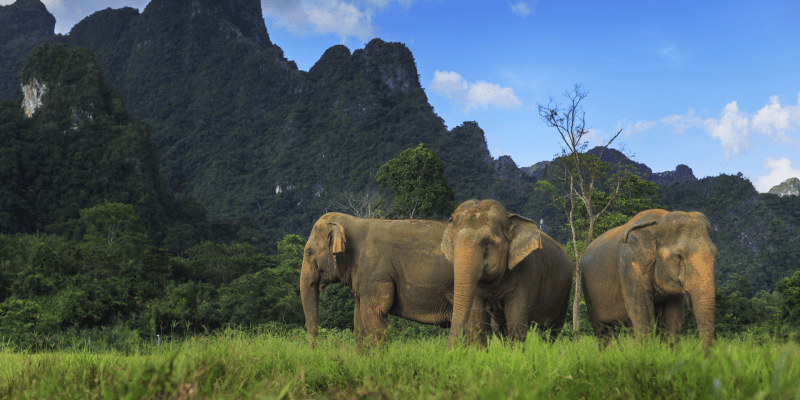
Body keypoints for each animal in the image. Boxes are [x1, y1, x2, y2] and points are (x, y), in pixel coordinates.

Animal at [300, 212, 488, 346]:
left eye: (308, 252)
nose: (314, 350)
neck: (354, 221)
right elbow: (358, 317)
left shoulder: (374, 272)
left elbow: (373, 313)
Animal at [441, 199, 573, 348]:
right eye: (453, 243)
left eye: (487, 242)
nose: (450, 351)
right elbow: (478, 321)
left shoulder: (528, 270)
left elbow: (516, 321)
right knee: (501, 330)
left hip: (565, 292)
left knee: (550, 331)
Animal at [580, 209, 717, 349]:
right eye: (678, 256)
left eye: (715, 253)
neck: (659, 221)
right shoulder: (629, 265)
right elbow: (642, 312)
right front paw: (646, 352)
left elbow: (673, 314)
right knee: (602, 330)